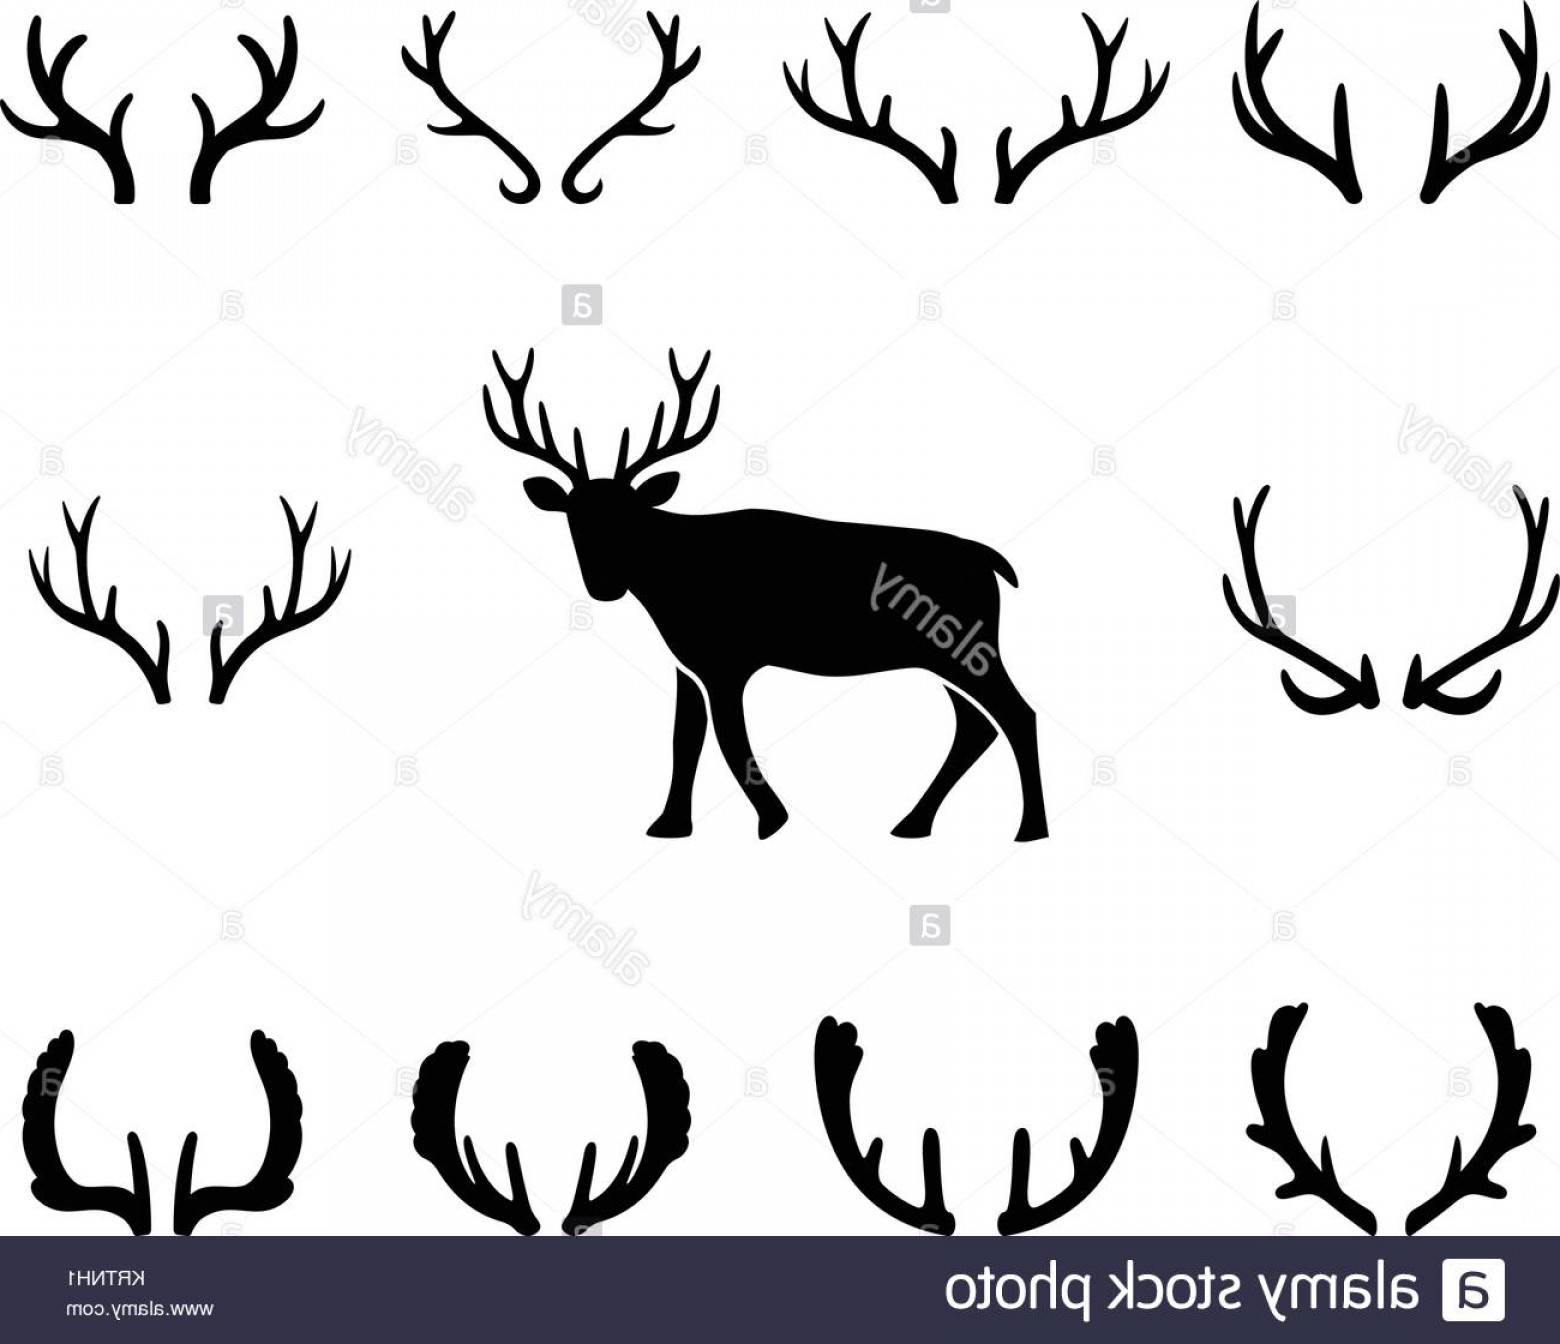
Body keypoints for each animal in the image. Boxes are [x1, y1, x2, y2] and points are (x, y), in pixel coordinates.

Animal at [484, 349, 1048, 842]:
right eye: (574, 518)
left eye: (631, 518)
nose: (603, 585)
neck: (667, 582)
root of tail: (992, 563)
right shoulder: (686, 664)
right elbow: (683, 740)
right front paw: (669, 825)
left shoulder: (726, 660)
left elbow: (730, 740)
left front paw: (772, 820)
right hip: (939, 656)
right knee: (974, 725)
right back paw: (912, 823)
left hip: (967, 648)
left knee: (1017, 714)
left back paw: (1030, 829)